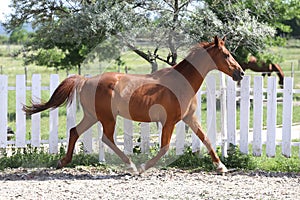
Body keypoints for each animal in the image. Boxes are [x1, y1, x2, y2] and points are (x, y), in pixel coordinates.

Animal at [23, 36, 244, 174]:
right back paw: (131, 166)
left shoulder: (189, 118)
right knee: (106, 138)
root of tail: (85, 81)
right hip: (107, 118)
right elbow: (164, 147)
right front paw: (144, 167)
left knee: (74, 131)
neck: (182, 82)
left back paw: (63, 162)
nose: (240, 73)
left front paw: (221, 166)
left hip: (92, 116)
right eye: (226, 54)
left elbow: (206, 139)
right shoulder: (170, 121)